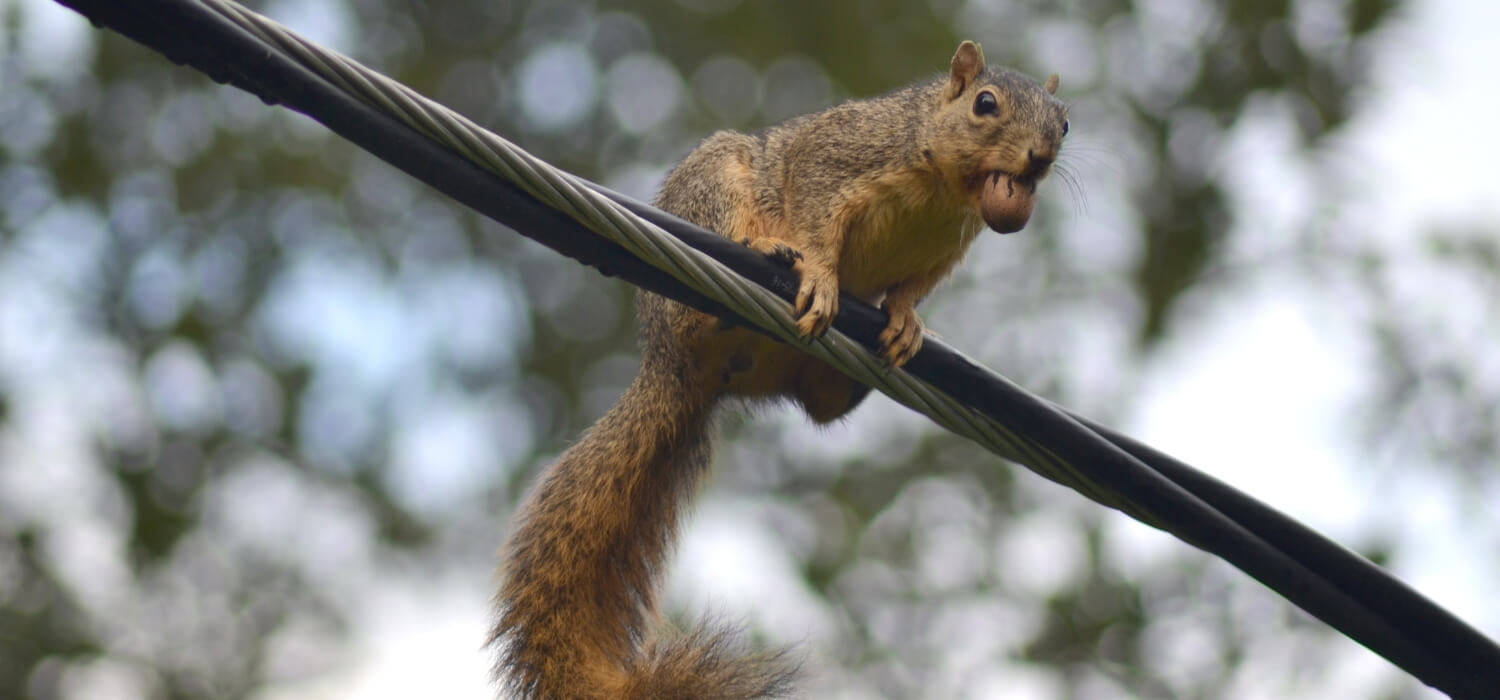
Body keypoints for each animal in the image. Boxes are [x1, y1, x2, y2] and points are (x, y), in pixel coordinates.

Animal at [492, 39, 1068, 700]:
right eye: (985, 104)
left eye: (1065, 123)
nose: (1039, 159)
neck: (946, 188)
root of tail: (673, 365)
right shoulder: (838, 156)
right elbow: (818, 222)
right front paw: (819, 273)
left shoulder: (947, 247)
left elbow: (912, 290)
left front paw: (906, 320)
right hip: (716, 188)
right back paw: (759, 259)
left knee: (821, 405)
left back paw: (847, 379)